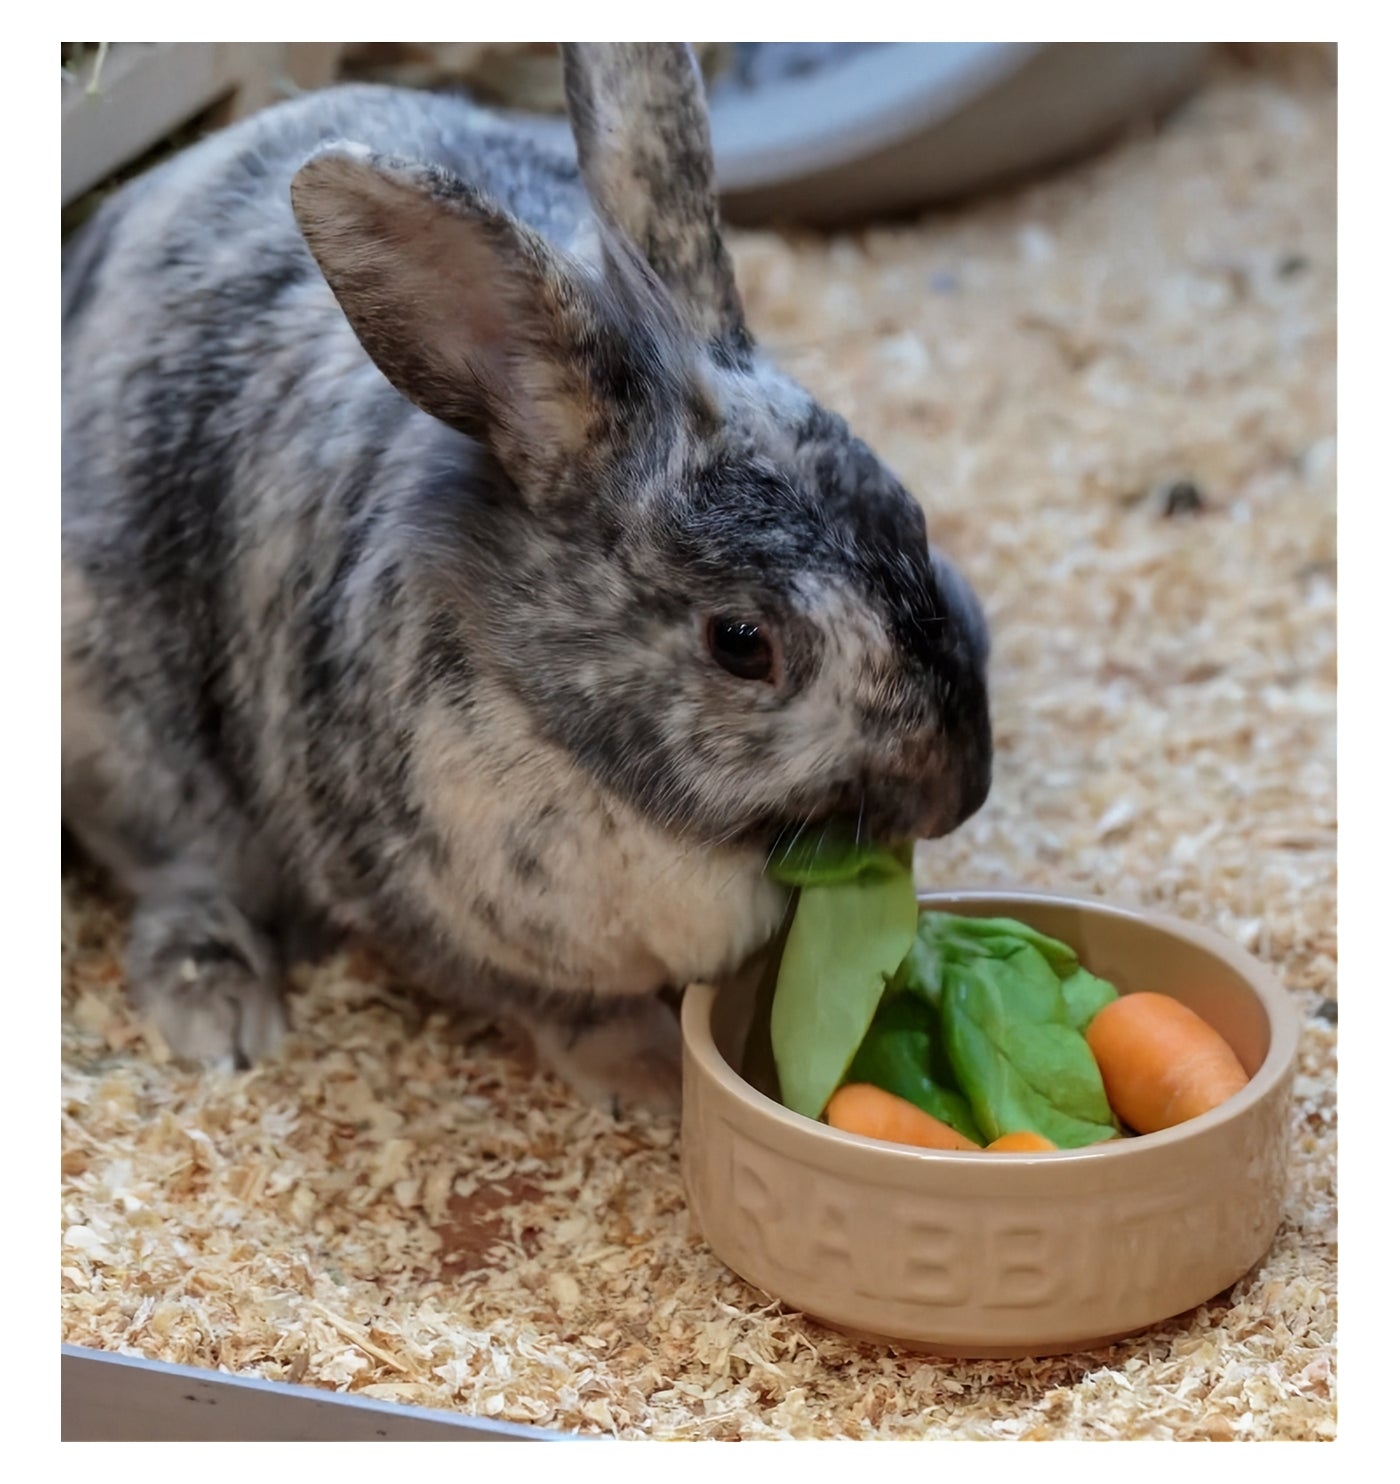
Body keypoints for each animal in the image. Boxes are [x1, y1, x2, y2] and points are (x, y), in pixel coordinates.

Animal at [61, 43, 993, 1113]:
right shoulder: (452, 920)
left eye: (910, 516)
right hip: (128, 752)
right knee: (181, 877)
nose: (960, 792)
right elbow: (566, 1009)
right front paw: (649, 1075)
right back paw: (222, 1015)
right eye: (742, 644)